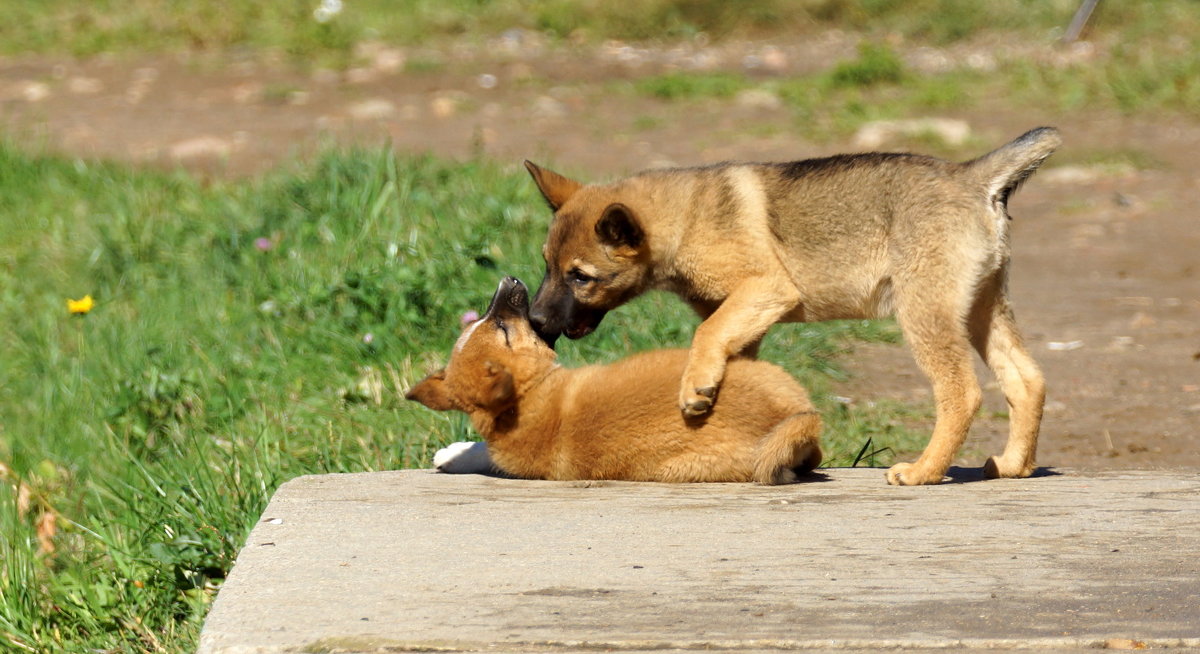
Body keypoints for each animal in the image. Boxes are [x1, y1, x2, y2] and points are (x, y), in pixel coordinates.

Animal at [408, 277, 820, 484]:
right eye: (501, 327)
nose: (508, 280)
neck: (530, 396)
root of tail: (797, 419)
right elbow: (485, 454)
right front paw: (454, 453)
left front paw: (452, 453)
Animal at [525, 126, 1060, 484]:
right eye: (547, 265)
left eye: (581, 277)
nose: (535, 320)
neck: (686, 220)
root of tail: (970, 176)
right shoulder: (742, 317)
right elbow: (728, 356)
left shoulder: (768, 290)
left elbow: (705, 336)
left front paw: (695, 390)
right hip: (981, 309)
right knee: (1027, 379)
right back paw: (1013, 466)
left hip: (925, 314)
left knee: (961, 392)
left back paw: (924, 471)